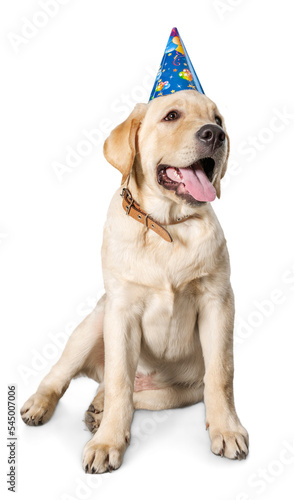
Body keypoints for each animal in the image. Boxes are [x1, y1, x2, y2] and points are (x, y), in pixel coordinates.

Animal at [20, 89, 249, 472]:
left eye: (217, 120)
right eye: (171, 116)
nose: (215, 136)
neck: (166, 226)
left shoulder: (218, 301)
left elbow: (222, 374)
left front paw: (227, 430)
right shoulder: (121, 310)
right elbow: (119, 382)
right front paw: (108, 442)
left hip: (185, 388)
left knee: (141, 394)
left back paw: (97, 410)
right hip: (94, 322)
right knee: (75, 377)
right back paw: (44, 404)